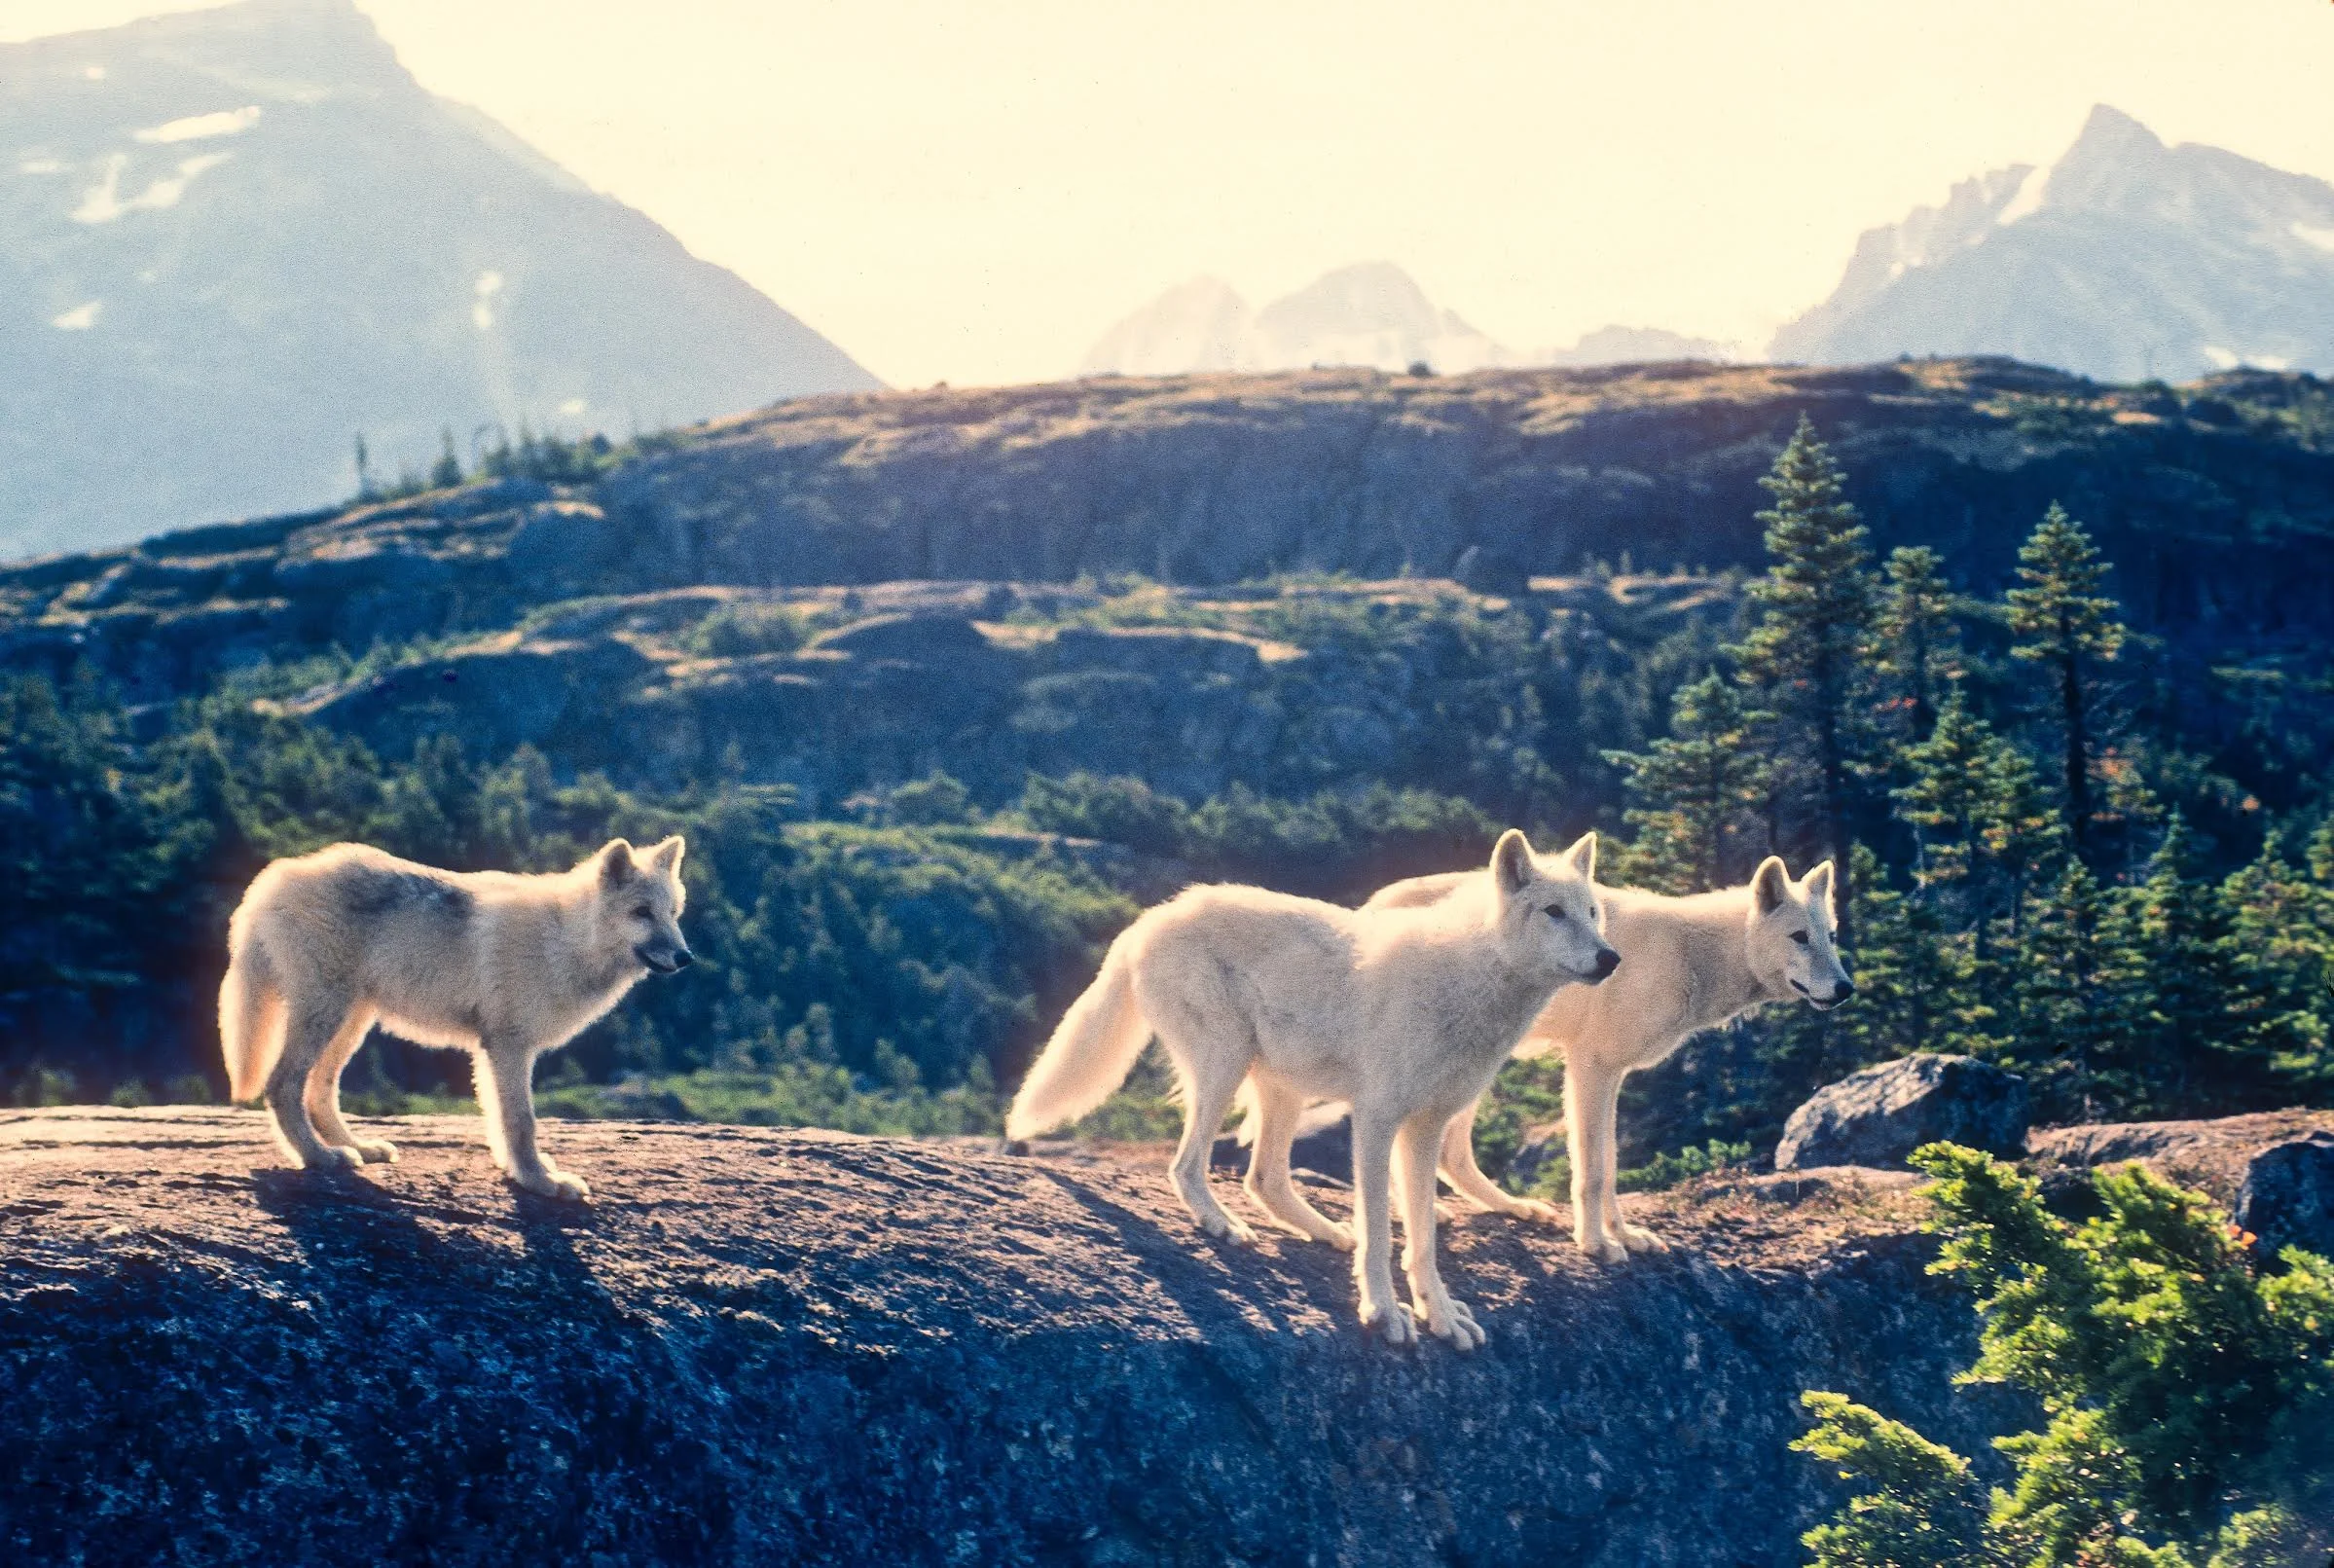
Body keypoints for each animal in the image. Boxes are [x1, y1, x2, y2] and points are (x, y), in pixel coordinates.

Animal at [219, 837, 692, 1200]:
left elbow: (502, 1123)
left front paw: (521, 1171)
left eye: (673, 913)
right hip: (325, 1018)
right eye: (641, 912)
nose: (686, 957)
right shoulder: (508, 1047)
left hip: (350, 1025)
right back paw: (319, 1157)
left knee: (320, 1092)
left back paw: (357, 1148)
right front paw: (540, 1182)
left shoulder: (495, 1052)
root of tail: (275, 875)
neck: (563, 939)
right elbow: (522, 1123)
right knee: (282, 1086)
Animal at [1006, 829, 1618, 1348]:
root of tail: (1152, 916)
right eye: (1554, 912)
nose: (1610, 958)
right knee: (1186, 1166)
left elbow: (1422, 1238)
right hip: (1225, 1066)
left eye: (1593, 913)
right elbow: (1380, 1232)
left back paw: (1325, 1232)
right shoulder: (1376, 1120)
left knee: (1262, 1178)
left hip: (1281, 1087)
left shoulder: (1423, 1130)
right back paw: (1222, 1225)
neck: (1469, 978)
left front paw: (1440, 1316)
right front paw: (1385, 1314)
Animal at [1359, 854, 1852, 1261]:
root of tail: (1372, 902)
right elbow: (1591, 1172)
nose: (1847, 988)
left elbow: (1612, 1167)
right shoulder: (1589, 1067)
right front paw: (1595, 1244)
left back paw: (1514, 1208)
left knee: (1451, 1155)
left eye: (1830, 937)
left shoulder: (1614, 1075)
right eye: (1799, 938)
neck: (1688, 956)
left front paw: (1626, 1235)